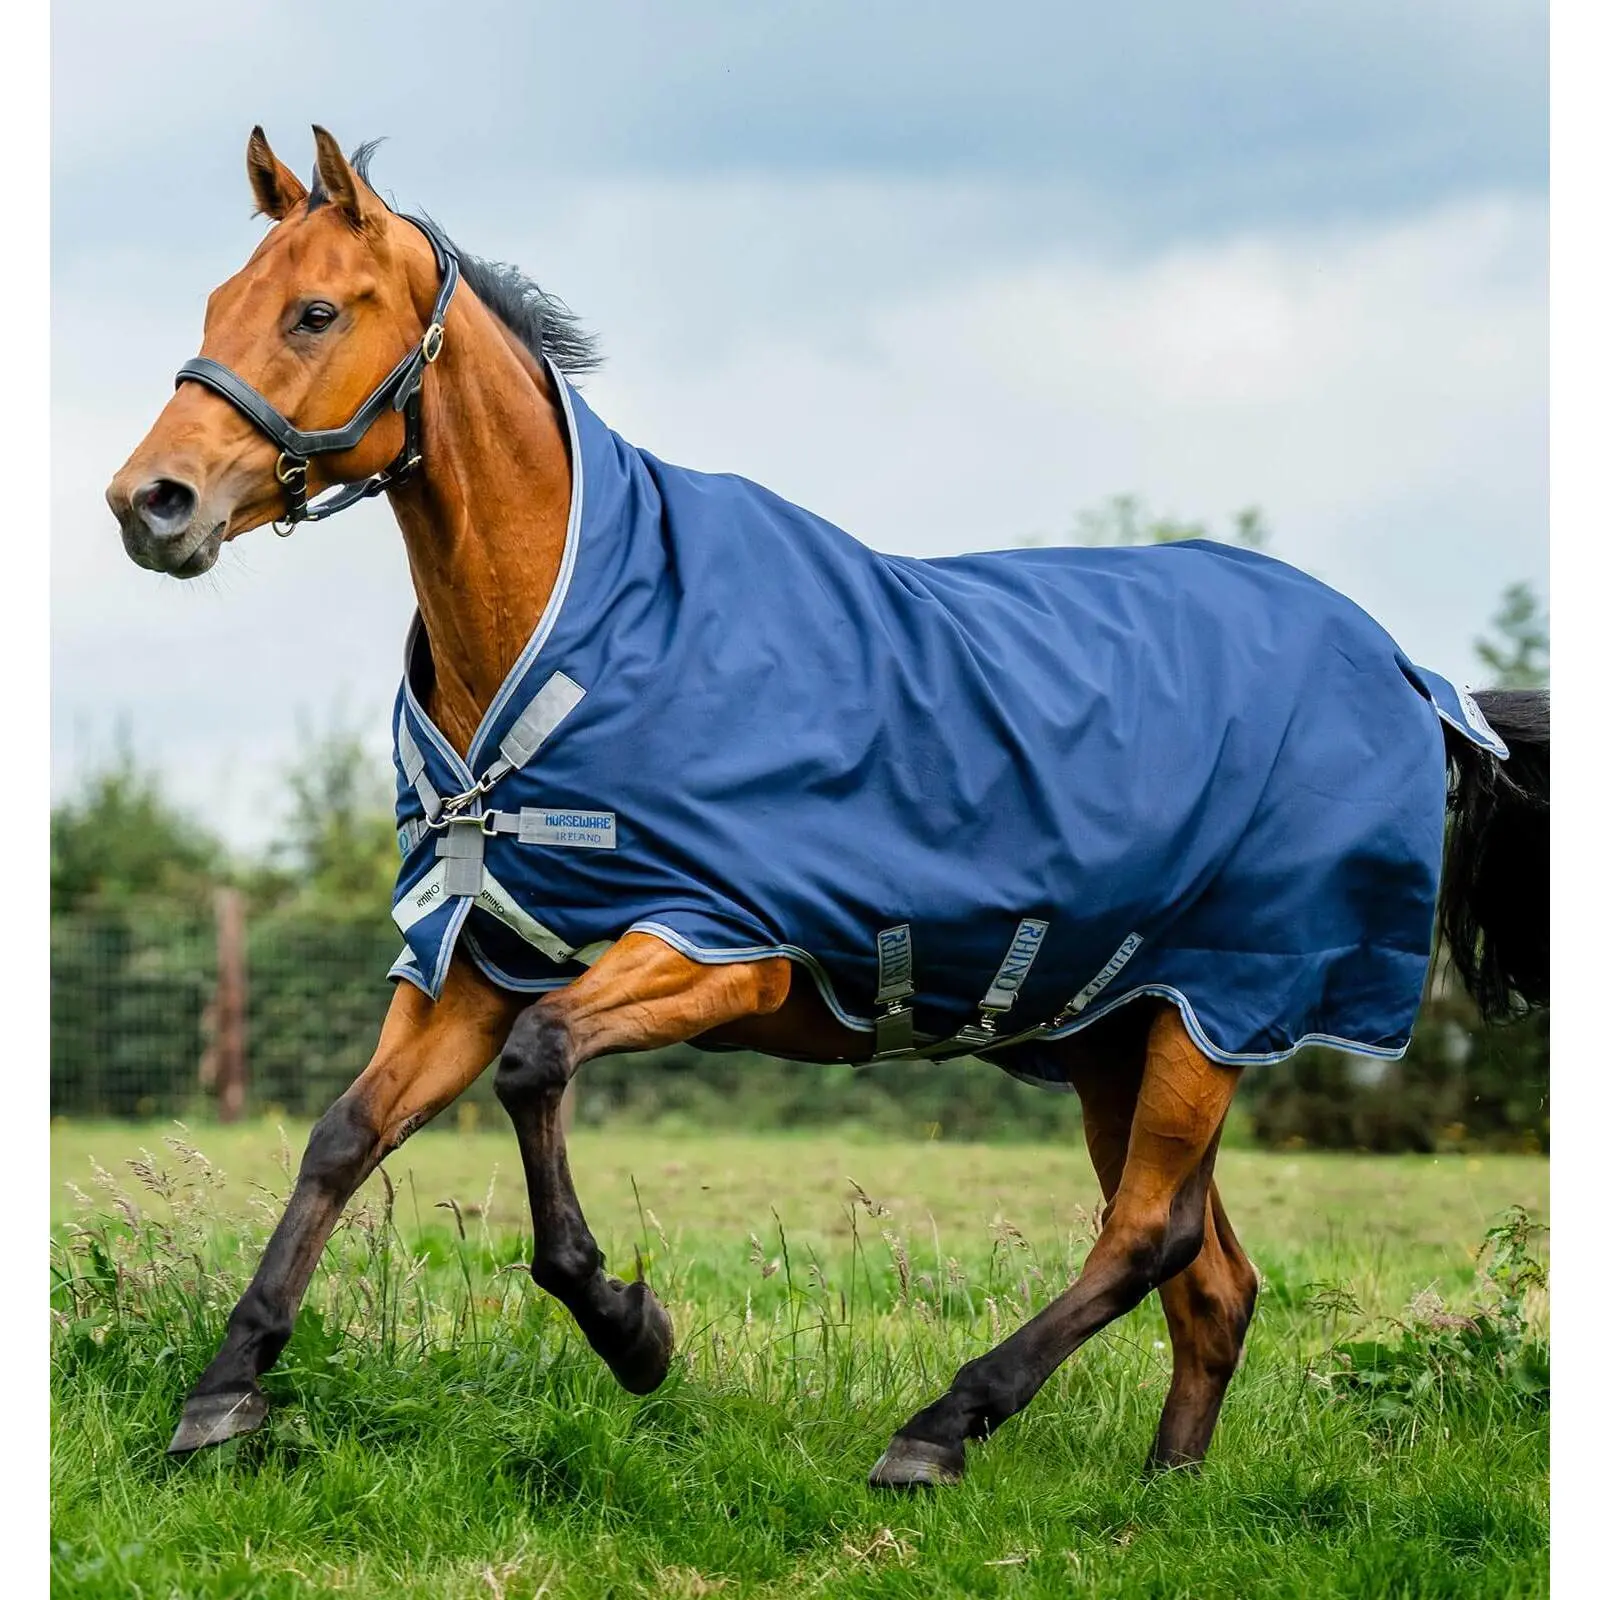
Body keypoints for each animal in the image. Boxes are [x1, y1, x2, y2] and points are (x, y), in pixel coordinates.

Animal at [105, 127, 1549, 1489]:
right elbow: (345, 1134)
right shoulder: (477, 960)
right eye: (221, 301)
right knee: (1209, 1280)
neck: (585, 627)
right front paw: (223, 1393)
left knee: (1150, 1234)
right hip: (1121, 1034)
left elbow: (541, 1066)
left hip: (1218, 1014)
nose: (149, 503)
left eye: (315, 312)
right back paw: (1163, 1498)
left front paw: (632, 1329)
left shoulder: (717, 949)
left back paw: (941, 1427)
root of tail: (1412, 676)